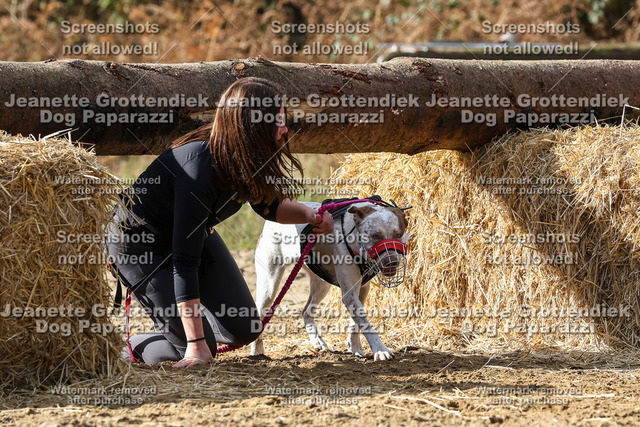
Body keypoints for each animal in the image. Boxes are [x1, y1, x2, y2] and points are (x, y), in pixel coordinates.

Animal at [251, 199, 409, 361]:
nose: (392, 262)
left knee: (306, 311)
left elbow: (356, 323)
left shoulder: (362, 289)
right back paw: (257, 352)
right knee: (260, 316)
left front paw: (354, 346)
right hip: (270, 285)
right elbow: (365, 324)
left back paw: (318, 342)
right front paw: (380, 349)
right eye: (375, 235)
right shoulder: (350, 294)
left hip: (322, 284)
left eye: (398, 234)